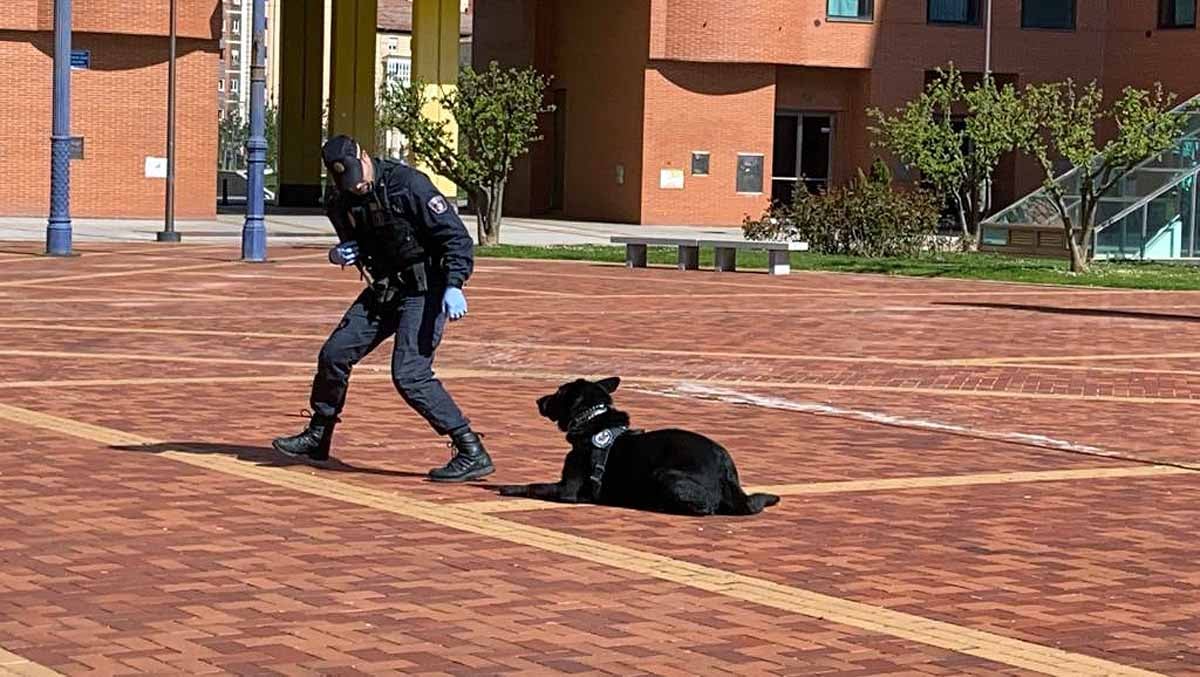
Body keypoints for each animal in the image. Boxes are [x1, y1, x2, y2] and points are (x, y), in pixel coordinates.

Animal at [496, 379, 777, 516]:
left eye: (558, 392)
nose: (538, 400)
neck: (593, 421)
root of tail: (724, 464)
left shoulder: (568, 489)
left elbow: (534, 486)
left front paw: (509, 488)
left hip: (665, 474)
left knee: (706, 509)